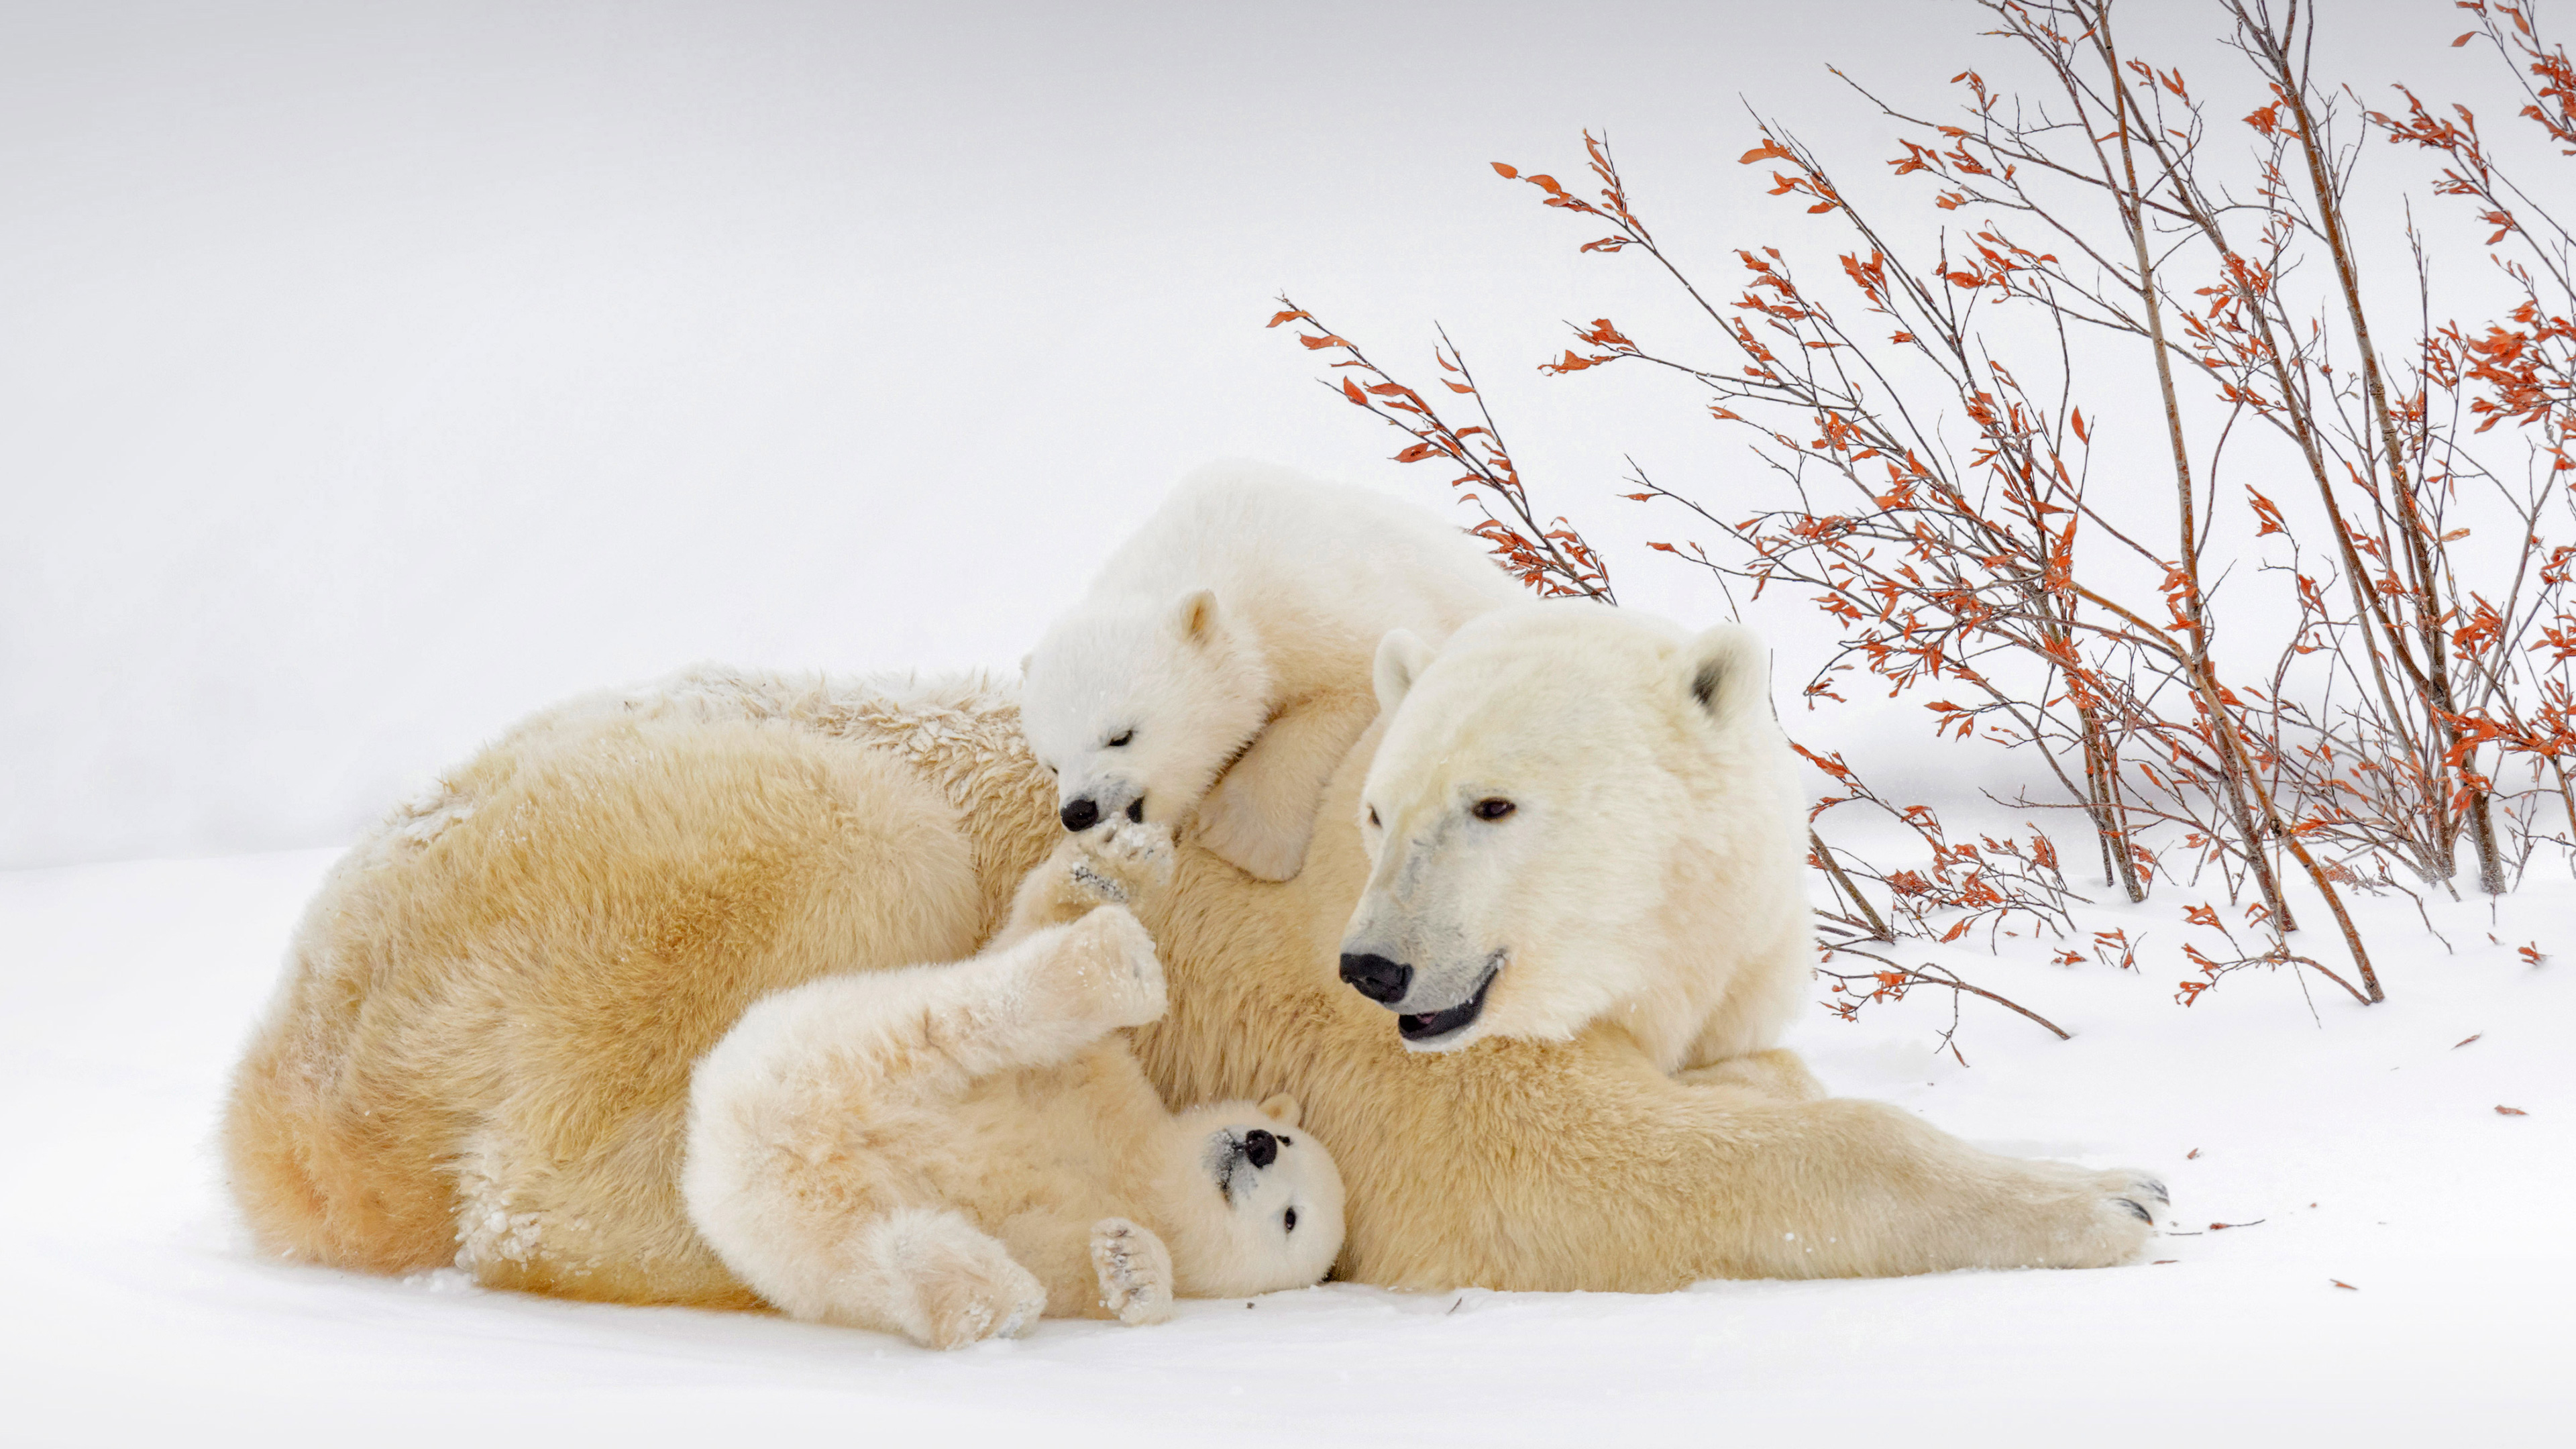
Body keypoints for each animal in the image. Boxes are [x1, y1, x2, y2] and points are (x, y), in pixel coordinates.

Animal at [685, 820, 1350, 1350]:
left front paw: (1132, 1264)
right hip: (828, 1032)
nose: (1258, 1144)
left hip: (797, 1224)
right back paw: (1113, 965)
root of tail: (727, 1142)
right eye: (1286, 1139)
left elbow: (1106, 1273)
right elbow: (1036, 938)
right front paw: (1112, 864)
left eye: (1291, 1218)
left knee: (873, 1252)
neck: (1136, 1171)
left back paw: (986, 1299)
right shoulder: (1101, 1086)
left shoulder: (1067, 1246)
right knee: (966, 1020)